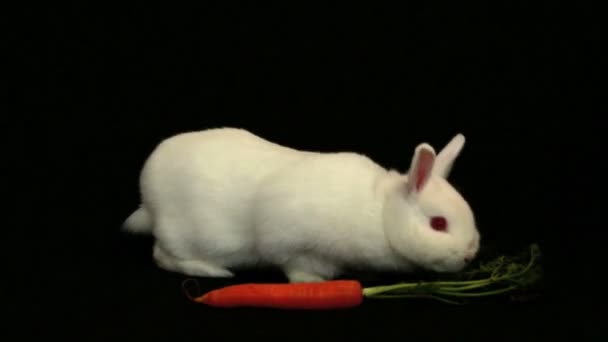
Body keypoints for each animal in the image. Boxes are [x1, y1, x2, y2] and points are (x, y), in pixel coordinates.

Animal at [123, 127, 480, 282]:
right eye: (438, 224)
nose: (468, 255)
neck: (380, 214)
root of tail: (147, 197)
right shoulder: (291, 242)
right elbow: (295, 267)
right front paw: (315, 284)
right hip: (185, 234)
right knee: (162, 255)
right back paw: (212, 271)